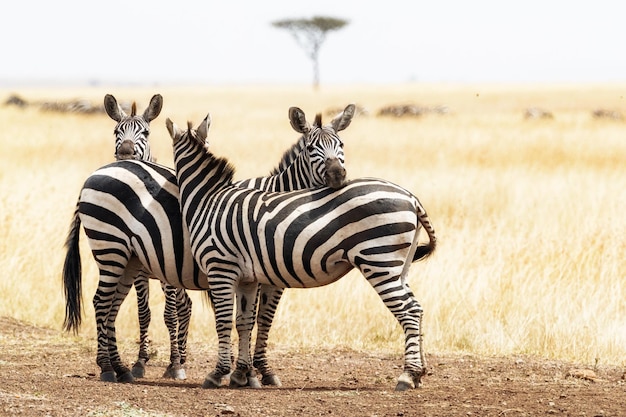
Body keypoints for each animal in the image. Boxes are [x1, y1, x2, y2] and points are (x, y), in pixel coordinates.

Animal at [63, 104, 356, 384]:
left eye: (341, 144)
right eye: (311, 148)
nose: (337, 175)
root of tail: (99, 171)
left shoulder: (269, 278)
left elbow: (262, 320)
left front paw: (260, 370)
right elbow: (248, 320)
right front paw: (248, 371)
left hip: (130, 259)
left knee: (117, 306)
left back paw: (124, 367)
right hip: (111, 247)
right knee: (104, 303)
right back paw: (112, 366)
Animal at [166, 112, 436, 388]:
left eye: (341, 144)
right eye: (311, 148)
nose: (337, 176)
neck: (208, 199)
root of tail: (411, 197)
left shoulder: (222, 268)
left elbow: (228, 321)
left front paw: (223, 373)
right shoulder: (248, 277)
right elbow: (244, 322)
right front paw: (243, 373)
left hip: (379, 261)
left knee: (409, 311)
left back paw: (408, 375)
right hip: (398, 267)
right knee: (418, 309)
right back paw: (419, 373)